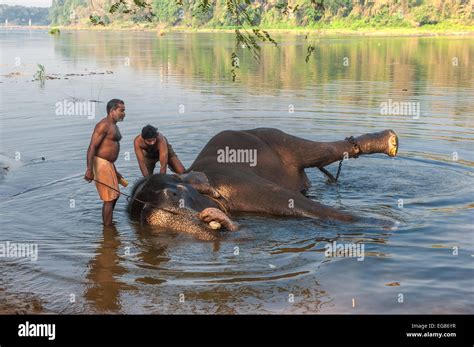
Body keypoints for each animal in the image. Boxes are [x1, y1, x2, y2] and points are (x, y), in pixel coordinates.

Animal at [128, 126, 398, 241]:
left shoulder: (235, 182)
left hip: (274, 135)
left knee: (317, 151)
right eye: (141, 213)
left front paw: (387, 223)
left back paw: (390, 141)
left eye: (176, 193)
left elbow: (298, 203)